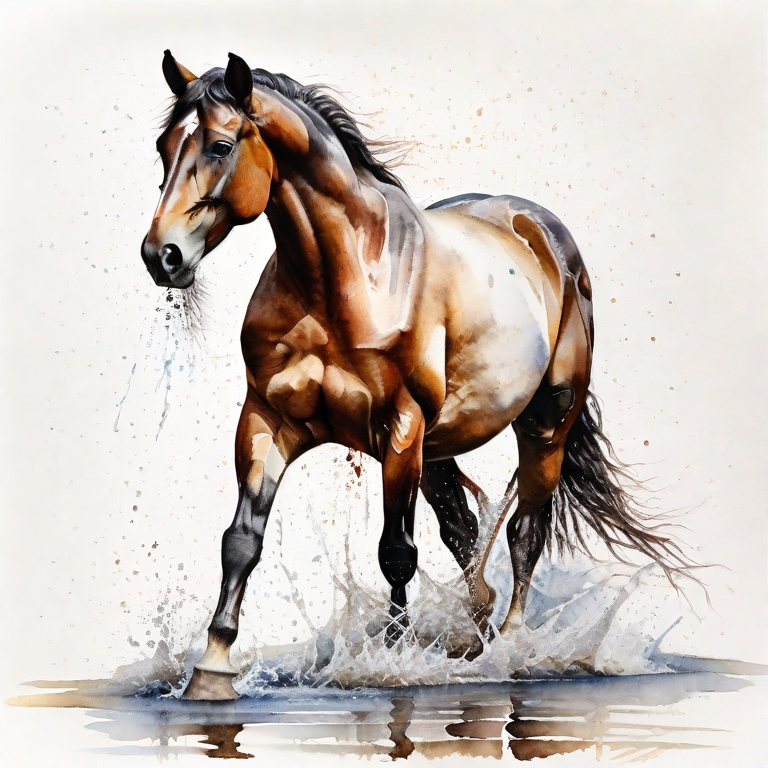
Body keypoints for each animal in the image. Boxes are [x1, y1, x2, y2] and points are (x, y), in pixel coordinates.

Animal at [141, 51, 688, 700]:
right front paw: (212, 671)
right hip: (440, 447)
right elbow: (240, 542)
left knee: (523, 532)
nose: (161, 256)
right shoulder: (265, 421)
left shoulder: (401, 427)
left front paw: (393, 662)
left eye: (221, 147)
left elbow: (396, 552)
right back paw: (478, 637)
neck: (344, 279)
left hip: (543, 425)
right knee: (464, 529)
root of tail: (540, 229)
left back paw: (514, 647)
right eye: (163, 147)